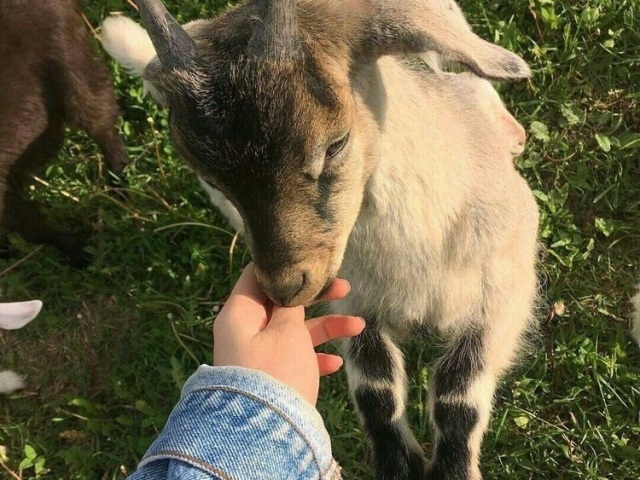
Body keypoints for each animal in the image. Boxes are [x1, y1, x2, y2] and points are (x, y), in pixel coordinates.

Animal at [104, 1, 540, 478]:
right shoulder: (353, 302)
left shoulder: (505, 294)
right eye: (212, 177)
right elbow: (375, 389)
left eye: (335, 144)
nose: (285, 287)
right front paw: (398, 464)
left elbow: (456, 394)